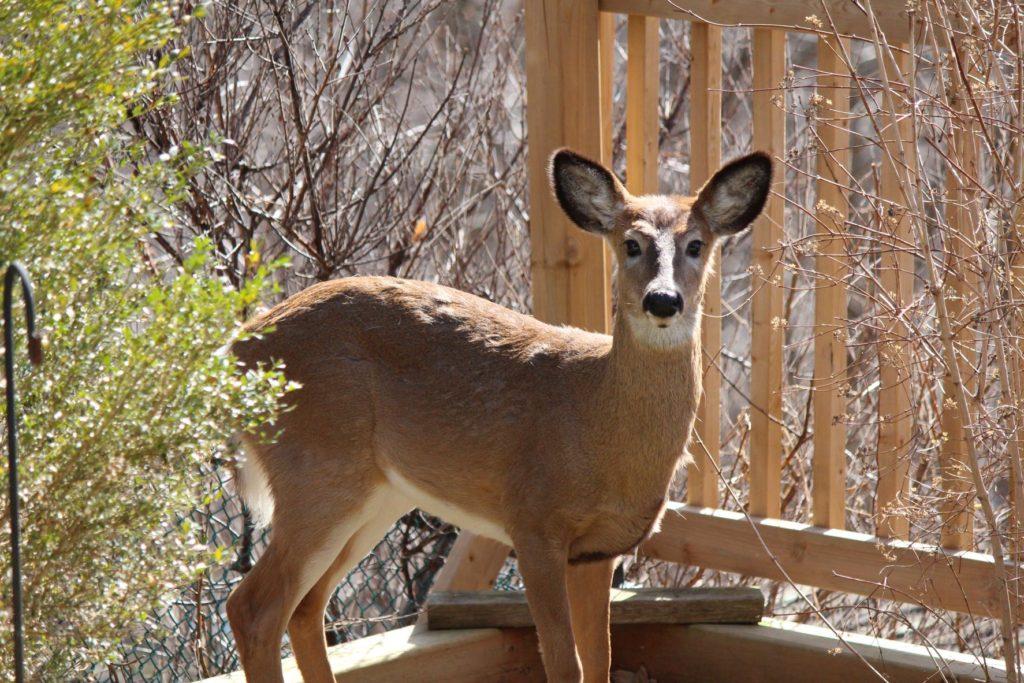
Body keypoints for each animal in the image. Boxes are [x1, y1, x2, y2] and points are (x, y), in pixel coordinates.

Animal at [224, 149, 770, 683]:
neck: (595, 420)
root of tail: (237, 348)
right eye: (630, 244)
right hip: (317, 472)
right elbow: (565, 662)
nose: (662, 299)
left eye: (696, 244)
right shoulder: (534, 521)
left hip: (376, 495)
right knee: (254, 607)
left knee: (306, 607)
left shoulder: (599, 550)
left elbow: (600, 661)